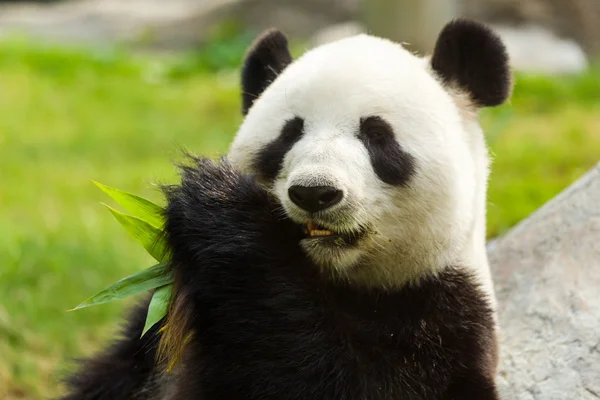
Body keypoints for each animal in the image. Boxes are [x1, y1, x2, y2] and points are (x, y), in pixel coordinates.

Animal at [59, 18, 510, 400]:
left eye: (377, 135)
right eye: (289, 134)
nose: (314, 193)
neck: (336, 278)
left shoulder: (446, 319)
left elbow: (337, 378)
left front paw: (220, 206)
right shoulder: (157, 326)